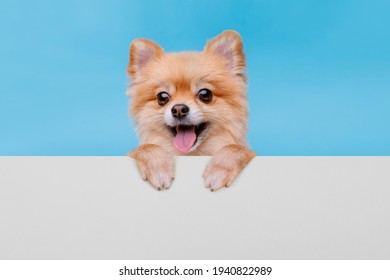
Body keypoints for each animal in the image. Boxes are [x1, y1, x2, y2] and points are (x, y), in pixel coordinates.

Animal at [125, 31, 256, 192]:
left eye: (205, 94)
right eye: (162, 97)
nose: (179, 109)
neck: (190, 155)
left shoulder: (250, 152)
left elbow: (236, 148)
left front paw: (218, 171)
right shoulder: (133, 152)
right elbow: (145, 147)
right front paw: (158, 168)